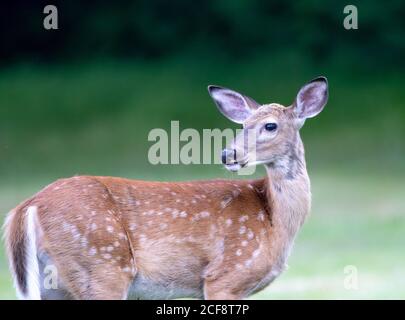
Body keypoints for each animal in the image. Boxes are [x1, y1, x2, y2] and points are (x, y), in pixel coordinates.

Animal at [3, 76, 328, 298]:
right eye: (243, 125)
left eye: (270, 125)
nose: (228, 154)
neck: (275, 219)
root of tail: (25, 207)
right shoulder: (226, 274)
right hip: (101, 264)